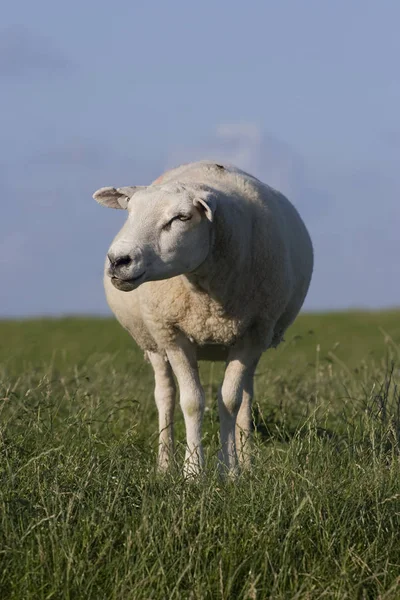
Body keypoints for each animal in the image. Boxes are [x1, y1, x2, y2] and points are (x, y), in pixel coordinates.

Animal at [92, 161, 314, 478]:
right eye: (129, 212)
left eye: (182, 217)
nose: (118, 260)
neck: (208, 299)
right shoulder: (173, 335)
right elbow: (192, 402)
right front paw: (193, 472)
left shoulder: (252, 335)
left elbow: (230, 401)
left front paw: (229, 470)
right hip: (152, 339)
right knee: (165, 395)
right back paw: (164, 465)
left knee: (246, 398)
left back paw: (246, 463)